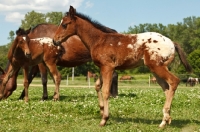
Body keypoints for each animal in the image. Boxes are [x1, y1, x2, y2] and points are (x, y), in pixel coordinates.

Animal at [52, 6, 192, 128]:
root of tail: (172, 43)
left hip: (157, 67)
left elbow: (106, 91)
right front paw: (101, 110)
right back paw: (166, 120)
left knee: (174, 81)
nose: (54, 40)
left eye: (64, 24)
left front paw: (104, 119)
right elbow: (97, 86)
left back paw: (164, 121)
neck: (99, 40)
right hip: (156, 71)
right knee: (167, 89)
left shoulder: (108, 67)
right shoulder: (104, 68)